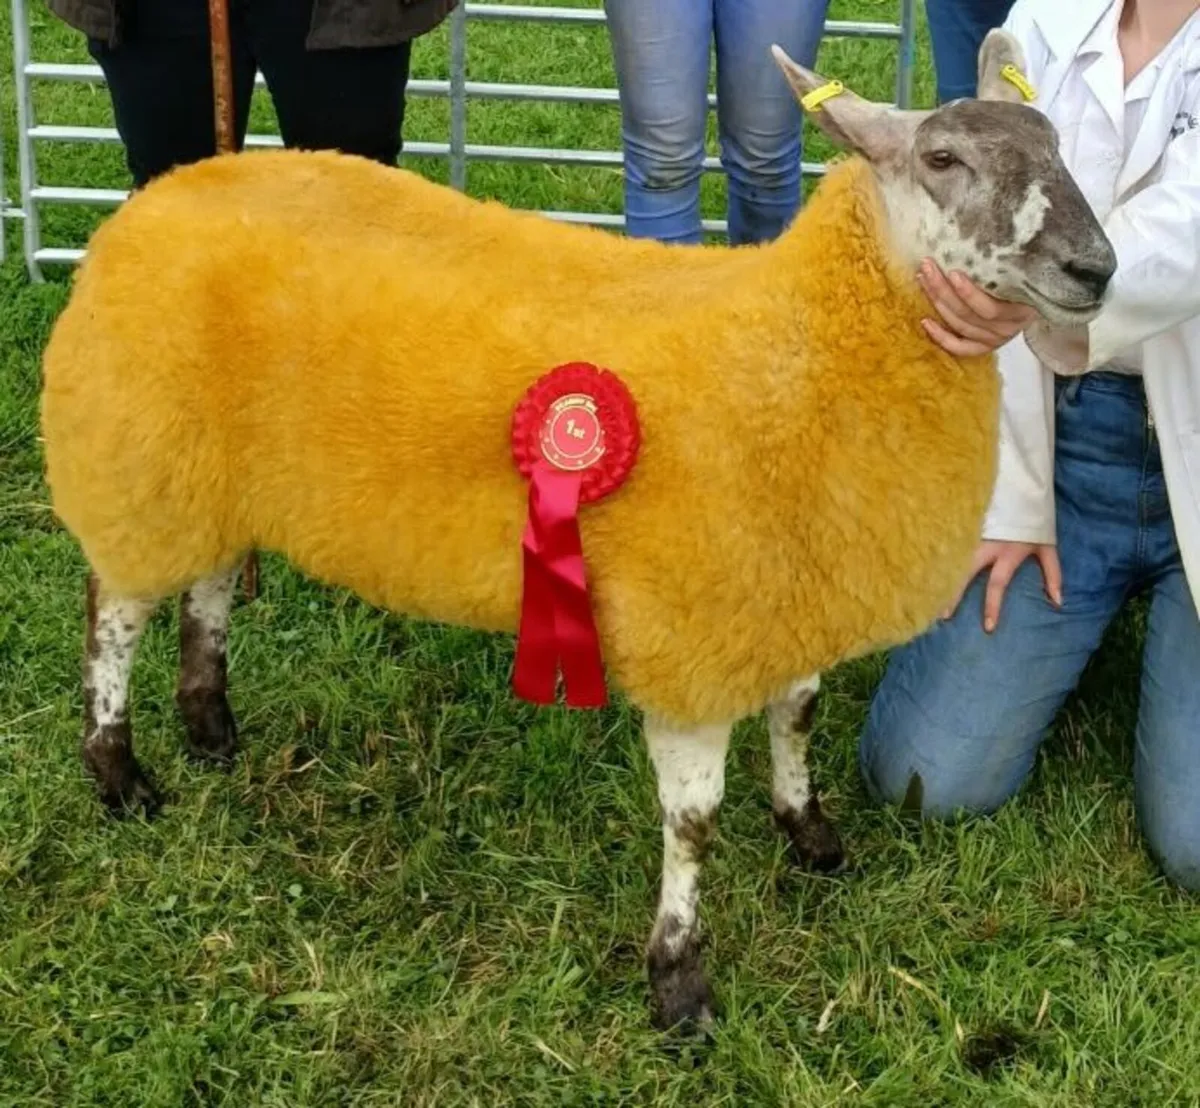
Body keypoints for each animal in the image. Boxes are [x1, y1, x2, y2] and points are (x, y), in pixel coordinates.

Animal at [39, 31, 1115, 1031]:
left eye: (1058, 146)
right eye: (942, 158)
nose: (1096, 268)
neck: (801, 340)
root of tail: (165, 190)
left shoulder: (790, 581)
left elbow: (798, 718)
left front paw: (810, 833)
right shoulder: (695, 631)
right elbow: (694, 824)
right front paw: (679, 980)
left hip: (212, 470)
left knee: (212, 582)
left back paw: (210, 724)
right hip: (141, 450)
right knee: (115, 610)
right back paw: (119, 770)